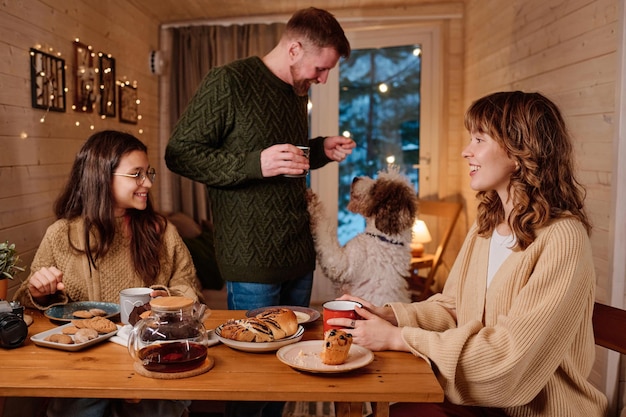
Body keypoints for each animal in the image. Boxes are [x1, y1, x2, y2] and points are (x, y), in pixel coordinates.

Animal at [304, 167, 416, 306]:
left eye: (375, 187)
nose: (355, 178)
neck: (384, 238)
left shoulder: (342, 264)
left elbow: (324, 230)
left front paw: (312, 200)